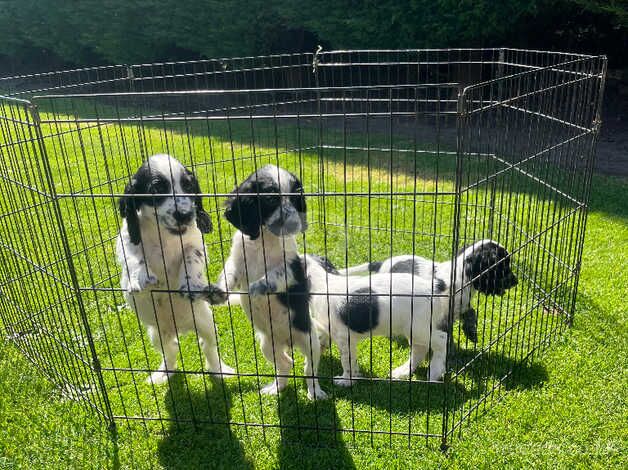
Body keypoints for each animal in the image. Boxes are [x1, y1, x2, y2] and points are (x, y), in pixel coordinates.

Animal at [116, 154, 234, 386]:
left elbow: (190, 256)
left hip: (206, 322)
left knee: (208, 348)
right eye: (156, 189)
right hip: (157, 334)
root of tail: (179, 327)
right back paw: (162, 374)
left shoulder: (195, 242)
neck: (165, 235)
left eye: (188, 186)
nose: (186, 215)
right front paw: (141, 277)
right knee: (170, 351)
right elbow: (134, 256)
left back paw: (220, 370)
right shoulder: (126, 239)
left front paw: (189, 283)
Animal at [216, 164, 326, 400]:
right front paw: (219, 291)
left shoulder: (292, 269)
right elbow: (229, 274)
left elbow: (274, 276)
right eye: (269, 199)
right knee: (286, 363)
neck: (264, 241)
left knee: (308, 369)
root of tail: (288, 341)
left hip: (310, 341)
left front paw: (256, 287)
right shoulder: (236, 261)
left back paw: (315, 393)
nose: (294, 224)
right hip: (267, 345)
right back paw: (276, 388)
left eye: (296, 197)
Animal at [306, 241, 516, 384]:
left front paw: (346, 380)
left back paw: (435, 370)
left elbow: (348, 362)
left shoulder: (344, 338)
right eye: (503, 266)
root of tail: (435, 286)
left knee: (439, 341)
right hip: (415, 328)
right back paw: (406, 371)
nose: (516, 281)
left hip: (418, 327)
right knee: (422, 348)